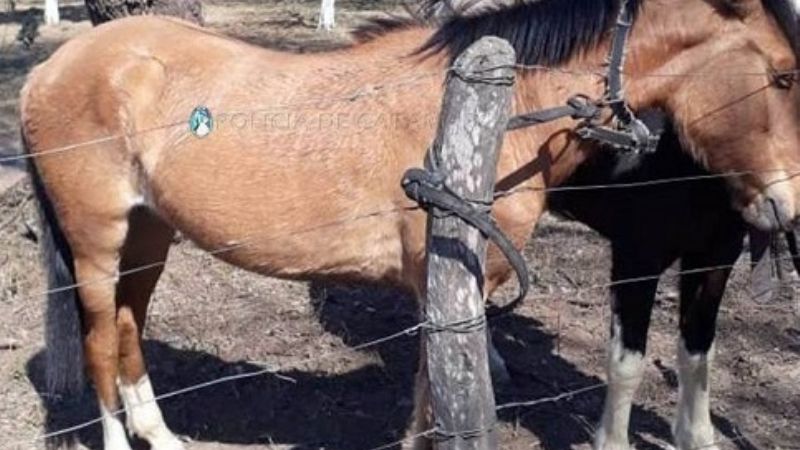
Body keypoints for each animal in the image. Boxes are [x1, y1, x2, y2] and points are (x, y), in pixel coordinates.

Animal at [19, 0, 800, 449]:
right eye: (786, 76)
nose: (786, 207)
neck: (511, 108)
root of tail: (50, 69)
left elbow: (430, 396)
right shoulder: (447, 284)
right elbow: (434, 397)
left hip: (149, 237)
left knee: (128, 330)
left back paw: (163, 436)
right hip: (97, 243)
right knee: (99, 342)